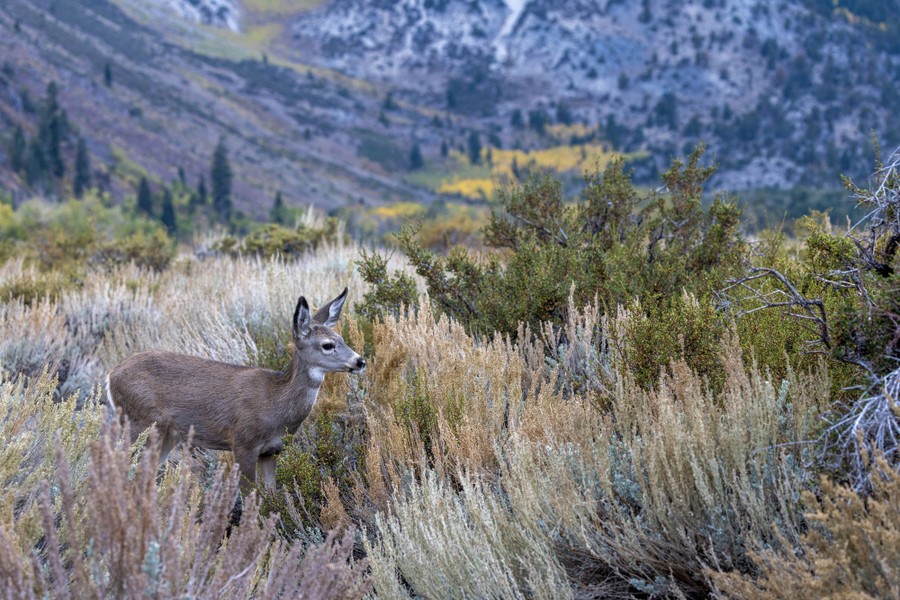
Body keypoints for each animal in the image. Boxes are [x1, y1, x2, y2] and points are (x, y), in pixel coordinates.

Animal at [105, 288, 365, 495]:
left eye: (341, 337)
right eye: (327, 345)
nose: (360, 361)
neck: (276, 402)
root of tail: (111, 375)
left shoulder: (272, 451)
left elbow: (271, 496)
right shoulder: (243, 443)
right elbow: (250, 496)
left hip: (166, 434)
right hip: (138, 421)